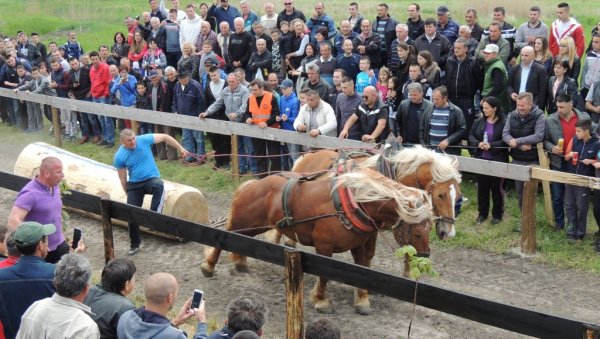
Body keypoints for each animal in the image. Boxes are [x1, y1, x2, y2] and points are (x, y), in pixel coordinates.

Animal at [200, 169, 432, 316]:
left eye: (430, 228)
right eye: (417, 233)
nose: (425, 257)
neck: (353, 202)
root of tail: (253, 184)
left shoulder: (360, 246)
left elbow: (363, 269)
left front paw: (362, 300)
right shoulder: (324, 247)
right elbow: (324, 276)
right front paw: (321, 300)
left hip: (254, 227)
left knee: (239, 242)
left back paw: (240, 262)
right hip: (243, 222)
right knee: (222, 240)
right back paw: (209, 266)